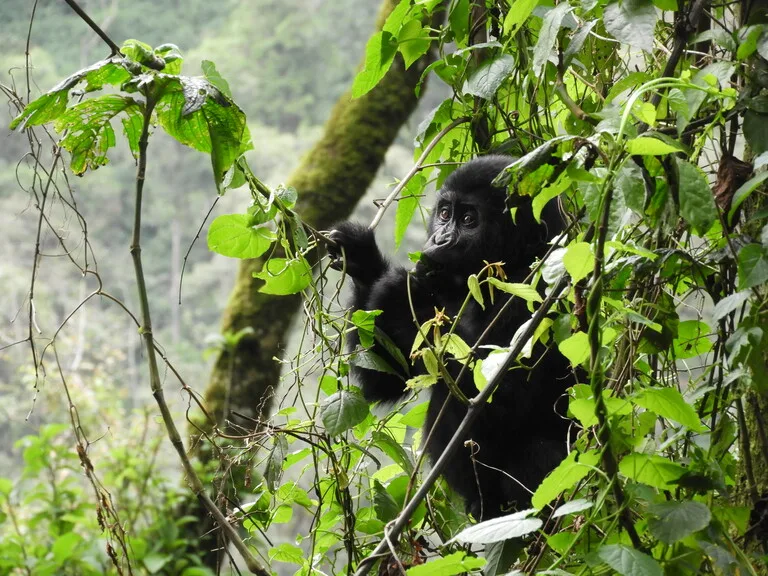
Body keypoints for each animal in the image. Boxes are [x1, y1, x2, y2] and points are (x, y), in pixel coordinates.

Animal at [330, 155, 576, 520]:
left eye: (469, 219)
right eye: (445, 214)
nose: (439, 241)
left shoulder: (539, 293)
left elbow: (502, 400)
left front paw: (399, 290)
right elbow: (387, 378)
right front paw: (363, 259)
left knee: (543, 453)